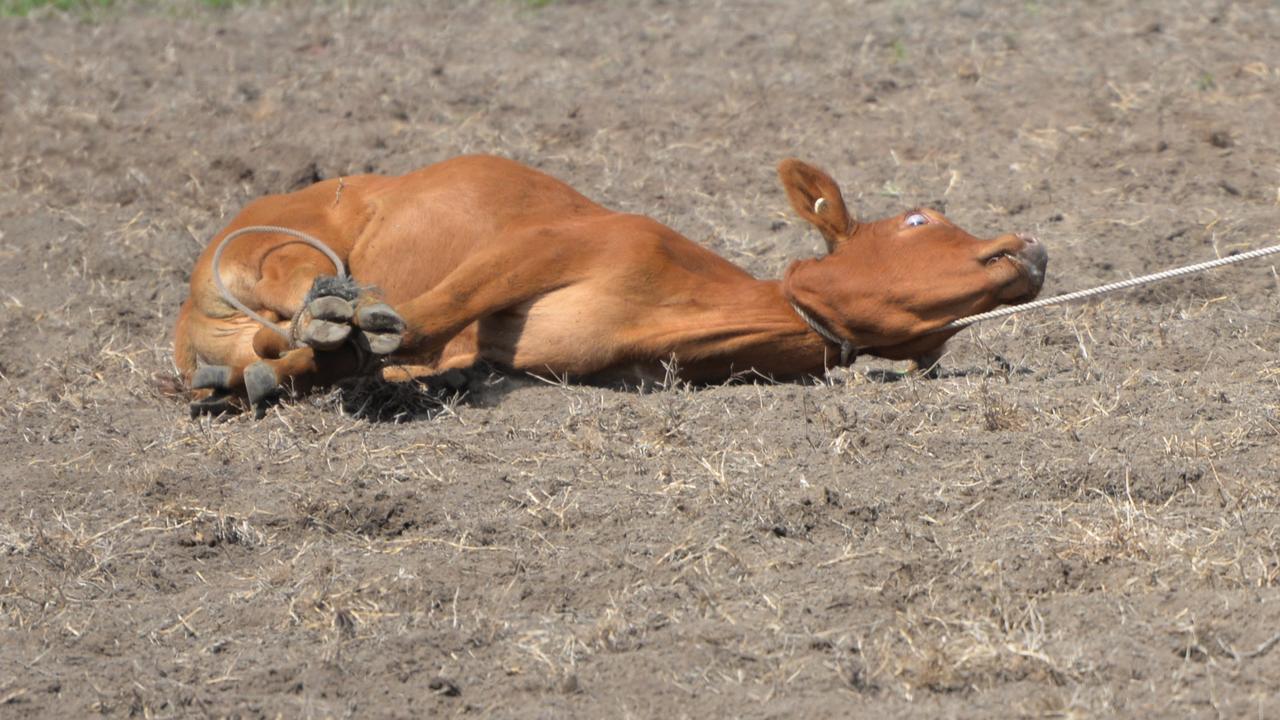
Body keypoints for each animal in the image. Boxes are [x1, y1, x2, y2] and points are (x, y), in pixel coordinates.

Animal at [175, 155, 1044, 415]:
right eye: (921, 219)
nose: (1027, 247)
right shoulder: (544, 246)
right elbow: (414, 318)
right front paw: (342, 341)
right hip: (273, 243)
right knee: (301, 284)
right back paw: (318, 315)